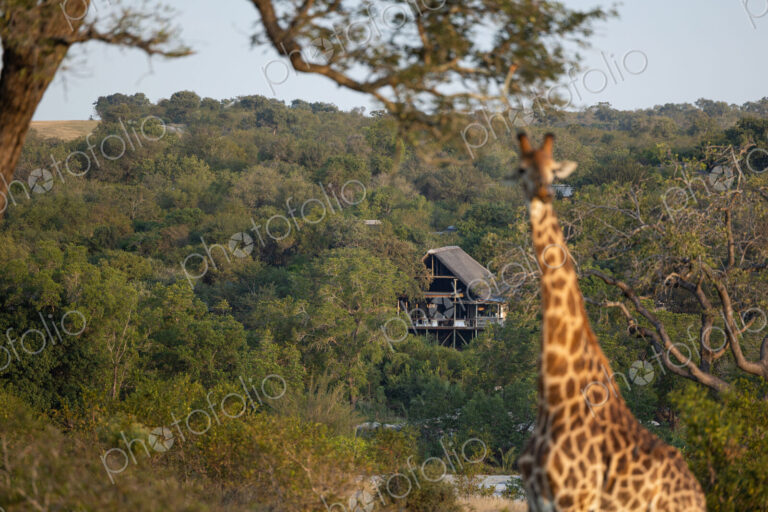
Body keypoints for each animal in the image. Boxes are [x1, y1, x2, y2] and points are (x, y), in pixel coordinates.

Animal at [513, 132, 706, 511]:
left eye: (554, 170)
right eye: (522, 169)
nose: (543, 193)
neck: (554, 399)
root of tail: (697, 492)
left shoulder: (576, 498)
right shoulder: (535, 499)